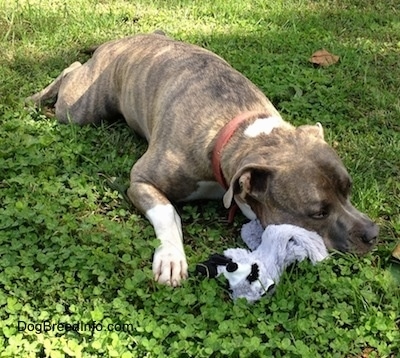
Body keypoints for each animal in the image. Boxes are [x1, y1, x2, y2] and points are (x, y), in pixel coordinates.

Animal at [27, 32, 378, 286]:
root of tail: (125, 38)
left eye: (349, 190)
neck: (236, 133)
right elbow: (168, 213)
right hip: (79, 109)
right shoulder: (141, 180)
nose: (373, 233)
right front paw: (171, 258)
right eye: (318, 212)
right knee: (71, 69)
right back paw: (36, 97)